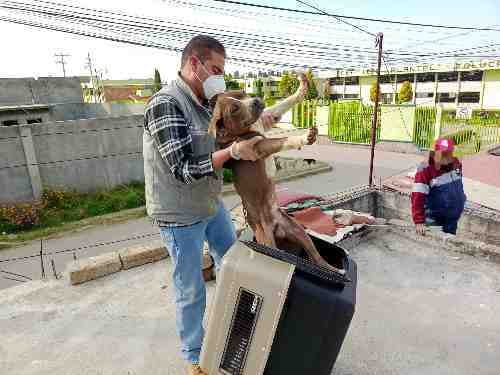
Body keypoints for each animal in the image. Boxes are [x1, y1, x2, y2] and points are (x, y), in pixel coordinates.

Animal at [209, 88, 346, 276]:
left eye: (241, 93)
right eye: (234, 109)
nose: (256, 100)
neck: (248, 128)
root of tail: (275, 226)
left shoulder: (267, 119)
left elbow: (282, 105)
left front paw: (302, 88)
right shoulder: (257, 147)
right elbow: (283, 140)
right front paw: (303, 137)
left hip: (299, 231)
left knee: (316, 258)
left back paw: (335, 270)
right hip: (268, 241)